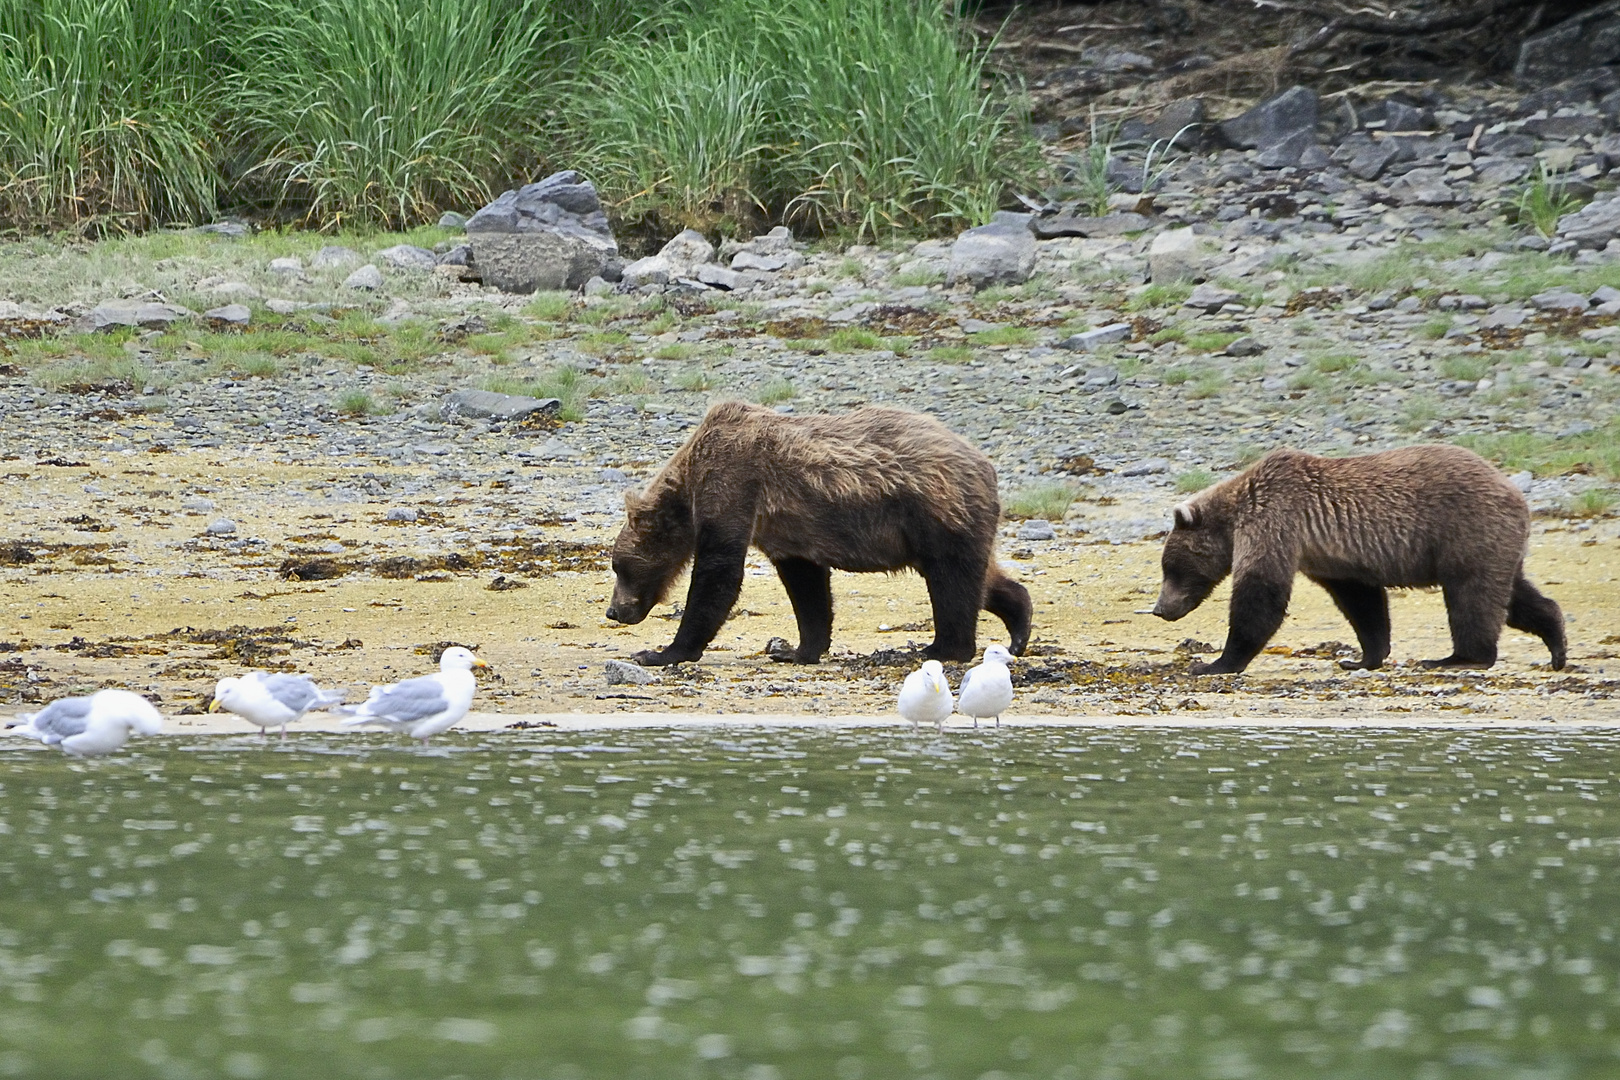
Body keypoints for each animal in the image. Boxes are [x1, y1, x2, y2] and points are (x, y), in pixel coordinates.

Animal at [602, 399, 1030, 667]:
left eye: (619, 566)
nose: (613, 611)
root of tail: (984, 464)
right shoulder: (788, 530)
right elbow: (806, 586)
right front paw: (797, 649)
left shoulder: (732, 485)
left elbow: (718, 573)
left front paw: (663, 651)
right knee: (976, 577)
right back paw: (1018, 625)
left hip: (935, 510)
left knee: (951, 580)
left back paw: (942, 648)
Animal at [1153, 446, 1568, 676]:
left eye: (1171, 568)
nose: (1159, 608)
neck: (1234, 517)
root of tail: (1515, 492)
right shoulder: (1334, 558)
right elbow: (1362, 603)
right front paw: (1363, 658)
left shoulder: (1274, 520)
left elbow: (1261, 595)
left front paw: (1214, 663)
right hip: (1492, 543)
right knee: (1511, 594)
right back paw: (1557, 644)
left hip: (1466, 529)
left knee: (1472, 596)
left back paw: (1460, 658)